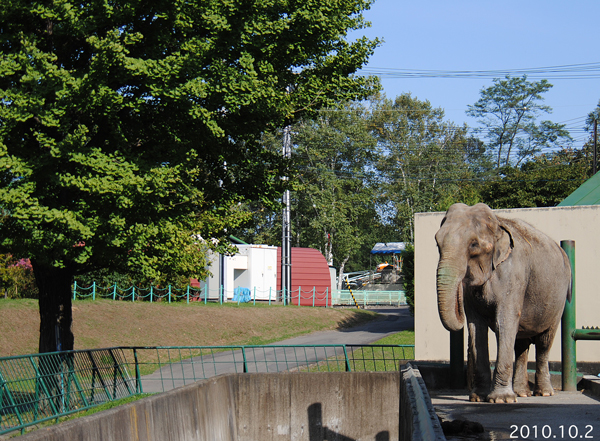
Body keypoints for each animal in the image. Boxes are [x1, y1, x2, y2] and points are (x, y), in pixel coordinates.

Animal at [436, 203, 572, 402]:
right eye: (437, 243)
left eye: (474, 244)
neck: (497, 222)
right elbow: (476, 328)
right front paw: (477, 397)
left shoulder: (513, 274)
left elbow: (504, 323)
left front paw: (501, 399)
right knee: (521, 344)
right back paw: (522, 393)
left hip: (558, 301)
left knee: (544, 342)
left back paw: (544, 392)